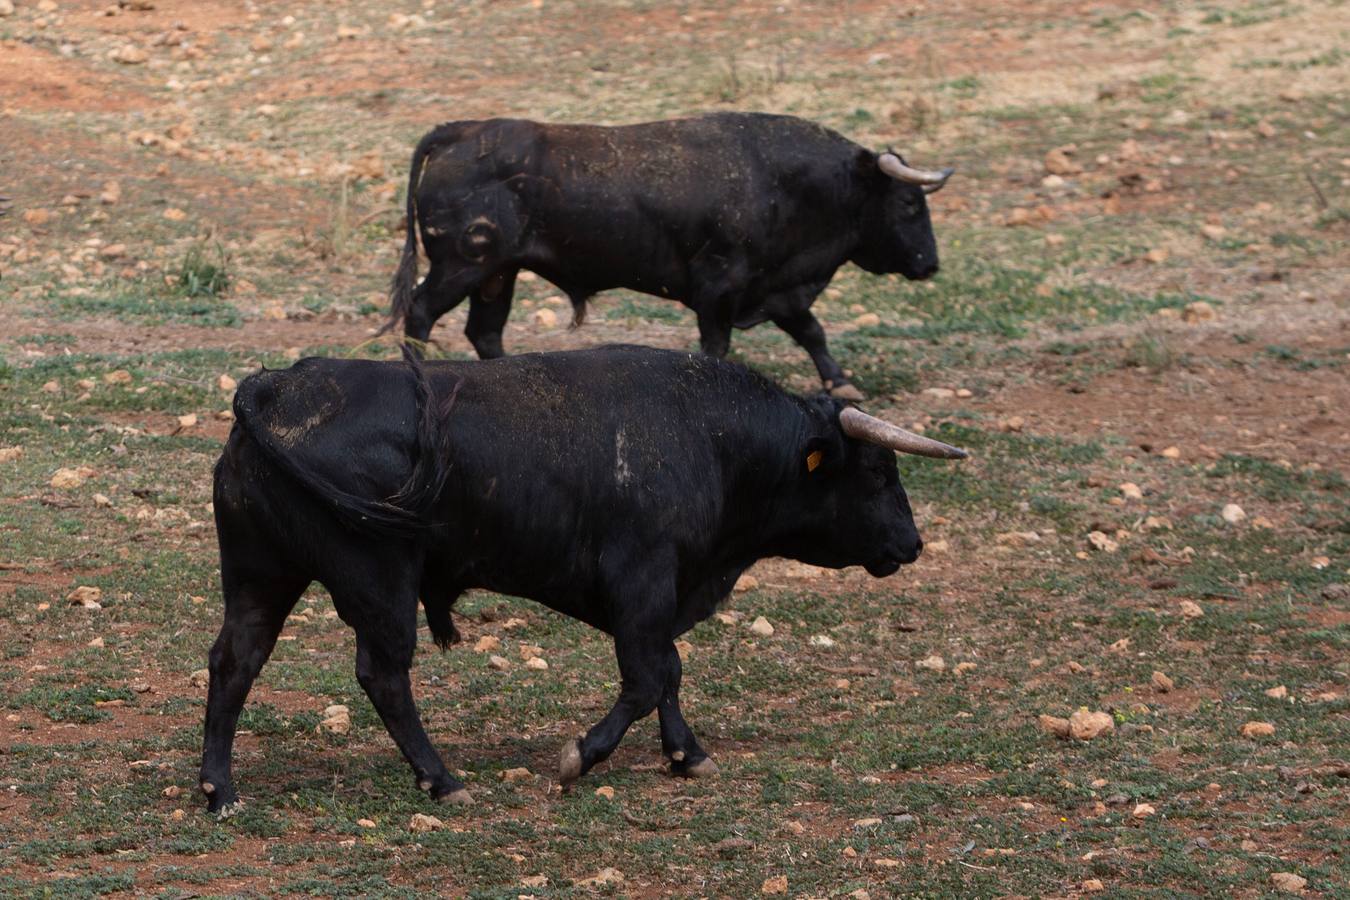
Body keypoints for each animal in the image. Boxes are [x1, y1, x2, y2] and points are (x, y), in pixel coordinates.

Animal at [199, 345, 966, 809]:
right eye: (878, 471)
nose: (912, 542)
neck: (712, 437)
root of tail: (281, 388)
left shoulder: (657, 595)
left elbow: (668, 669)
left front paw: (687, 754)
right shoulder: (644, 581)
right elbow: (648, 677)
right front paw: (581, 756)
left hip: (261, 574)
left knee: (236, 660)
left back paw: (219, 788)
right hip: (378, 581)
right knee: (383, 677)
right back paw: (442, 780)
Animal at [386, 110, 955, 399]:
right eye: (909, 203)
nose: (929, 264)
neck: (782, 180)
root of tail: (458, 132)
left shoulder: (777, 289)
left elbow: (812, 331)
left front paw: (842, 385)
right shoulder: (720, 288)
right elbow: (717, 346)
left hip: (498, 273)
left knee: (485, 332)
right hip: (463, 266)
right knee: (420, 312)